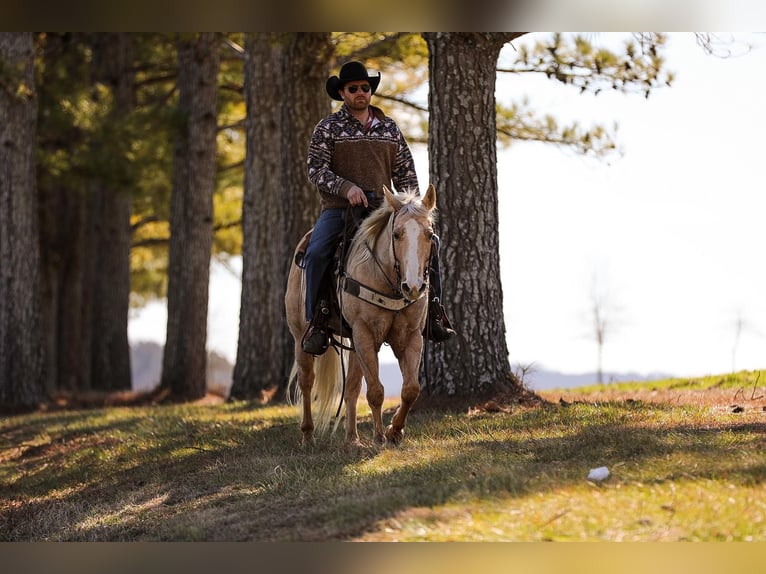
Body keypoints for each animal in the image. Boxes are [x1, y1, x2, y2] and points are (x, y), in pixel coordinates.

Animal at [284, 187, 438, 448]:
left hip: (355, 346)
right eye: (396, 234)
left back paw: (352, 439)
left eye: (429, 235)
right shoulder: (364, 333)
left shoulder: (410, 337)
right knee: (306, 382)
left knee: (352, 388)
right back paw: (308, 435)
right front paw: (379, 437)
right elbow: (375, 391)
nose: (414, 287)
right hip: (300, 337)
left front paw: (394, 432)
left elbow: (410, 389)